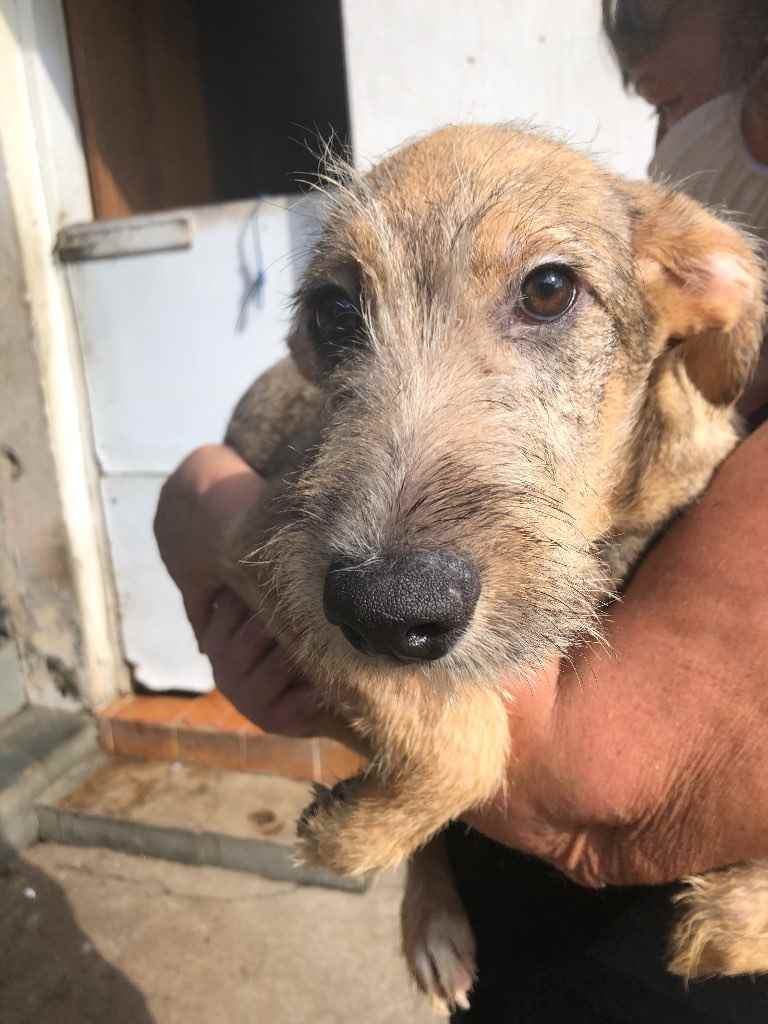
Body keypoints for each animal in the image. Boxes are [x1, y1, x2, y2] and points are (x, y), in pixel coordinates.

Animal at [223, 124, 766, 1012]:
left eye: (548, 289)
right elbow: (466, 741)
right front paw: (356, 833)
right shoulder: (269, 553)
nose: (389, 603)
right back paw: (430, 917)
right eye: (334, 312)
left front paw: (741, 915)